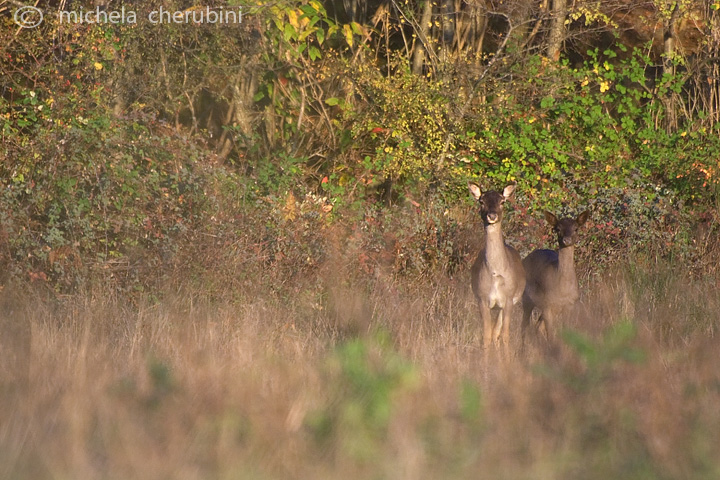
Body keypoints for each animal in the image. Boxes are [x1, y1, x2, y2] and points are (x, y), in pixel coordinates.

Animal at [466, 182, 524, 346]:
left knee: (497, 333)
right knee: (493, 333)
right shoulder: (482, 298)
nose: (492, 216)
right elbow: (486, 336)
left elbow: (505, 335)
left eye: (502, 201)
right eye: (481, 201)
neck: (495, 273)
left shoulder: (509, 299)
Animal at [524, 210, 592, 342]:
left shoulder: (570, 304)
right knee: (524, 327)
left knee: (537, 327)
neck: (562, 290)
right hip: (526, 299)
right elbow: (550, 335)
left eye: (576, 228)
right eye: (558, 229)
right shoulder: (547, 304)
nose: (567, 240)